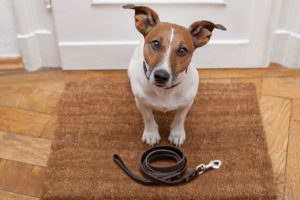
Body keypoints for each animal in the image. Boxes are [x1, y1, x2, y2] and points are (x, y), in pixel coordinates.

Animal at [123, 3, 225, 146]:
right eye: (155, 43)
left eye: (182, 50)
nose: (161, 76)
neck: (164, 91)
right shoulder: (141, 103)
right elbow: (148, 117)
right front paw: (151, 134)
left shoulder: (187, 103)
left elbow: (180, 118)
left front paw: (177, 133)